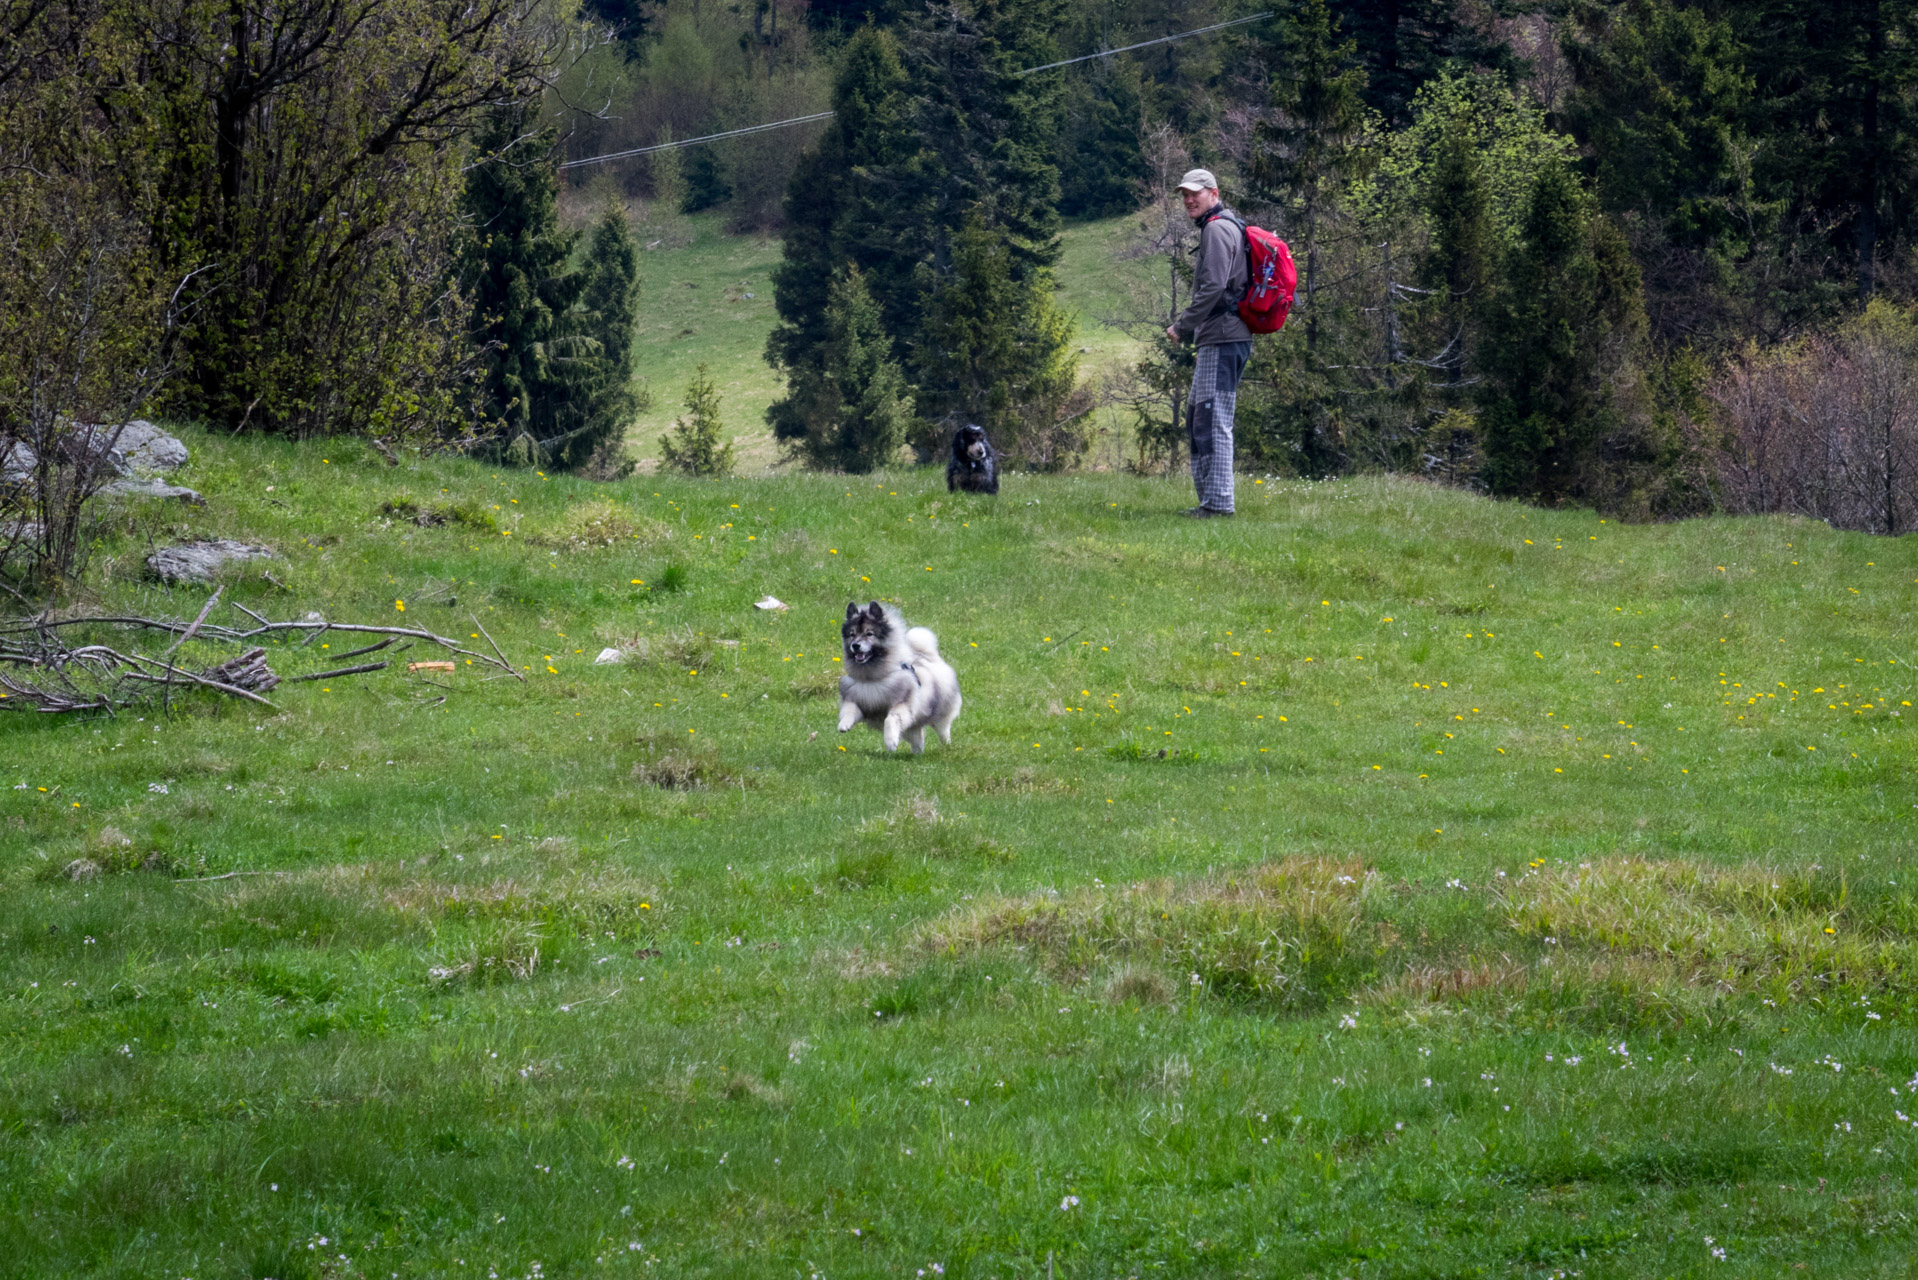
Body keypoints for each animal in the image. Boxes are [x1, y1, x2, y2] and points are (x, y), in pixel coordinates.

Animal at [836, 598, 959, 752]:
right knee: (918, 739)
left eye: (869, 634)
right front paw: (844, 724)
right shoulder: (857, 700)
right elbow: (849, 710)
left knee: (943, 730)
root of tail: (930, 658)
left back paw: (946, 746)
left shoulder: (901, 704)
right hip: (912, 726)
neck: (873, 678)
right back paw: (916, 753)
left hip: (940, 714)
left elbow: (890, 719)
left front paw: (890, 742)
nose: (855, 645)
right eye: (852, 634)